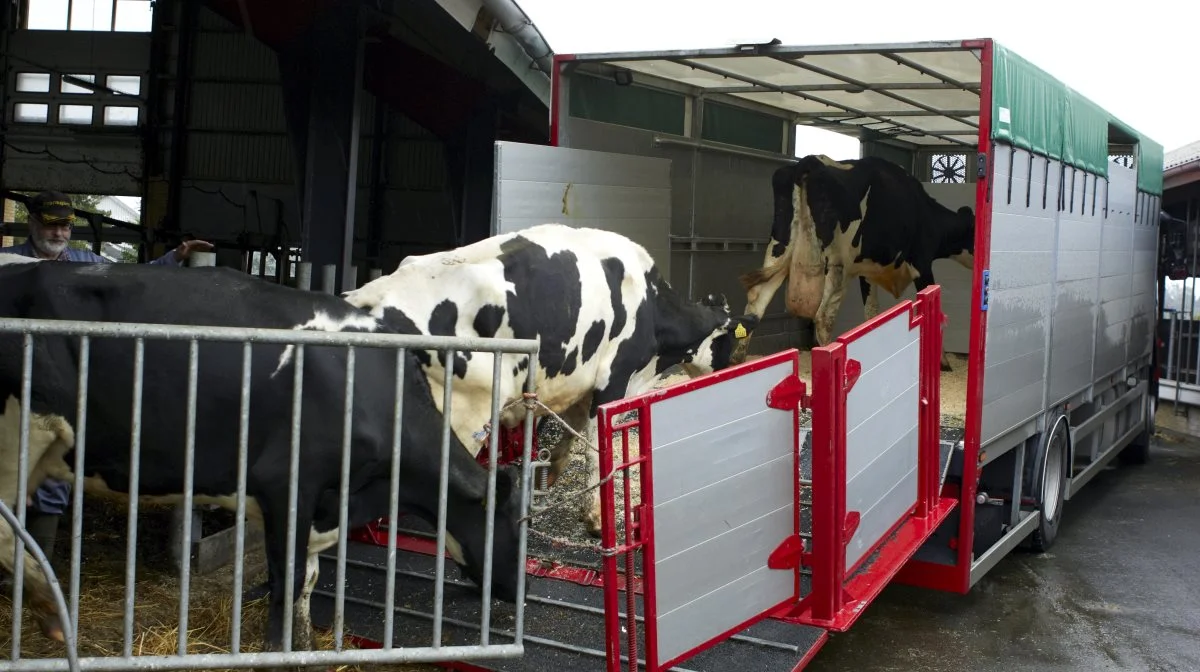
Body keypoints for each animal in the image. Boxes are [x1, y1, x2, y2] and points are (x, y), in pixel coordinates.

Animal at [0, 254, 525, 657]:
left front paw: (305, 645)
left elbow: (308, 580)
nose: (516, 592)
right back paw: (49, 606)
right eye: (514, 525)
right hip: (20, 435)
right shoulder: (287, 482)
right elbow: (286, 581)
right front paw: (277, 649)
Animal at [343, 223, 753, 537]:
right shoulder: (613, 380)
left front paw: (552, 471)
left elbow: (572, 432)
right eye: (729, 342)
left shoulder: (579, 383)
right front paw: (596, 520)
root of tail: (366, 298)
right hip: (457, 416)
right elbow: (597, 449)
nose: (730, 371)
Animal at [729, 154, 974, 369]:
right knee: (823, 316)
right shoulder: (922, 265)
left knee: (756, 303)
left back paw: (736, 362)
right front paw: (943, 362)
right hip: (836, 265)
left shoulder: (868, 271)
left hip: (778, 249)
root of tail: (811, 162)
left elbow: (872, 313)